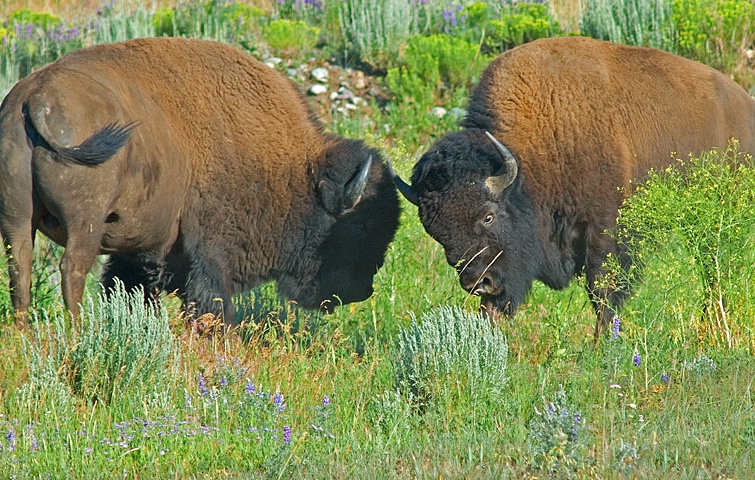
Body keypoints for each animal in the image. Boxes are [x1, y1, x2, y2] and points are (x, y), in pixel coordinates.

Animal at [0, 36, 402, 322]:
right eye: (362, 226)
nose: (363, 289)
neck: (292, 170)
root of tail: (37, 98)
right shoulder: (211, 255)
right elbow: (212, 300)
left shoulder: (141, 253)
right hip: (84, 222)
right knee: (71, 270)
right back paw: (77, 334)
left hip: (18, 218)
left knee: (20, 268)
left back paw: (23, 333)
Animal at [390, 36, 755, 338]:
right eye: (435, 230)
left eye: (488, 216)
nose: (477, 283)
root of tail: (744, 104)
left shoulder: (604, 231)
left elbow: (603, 292)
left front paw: (601, 345)